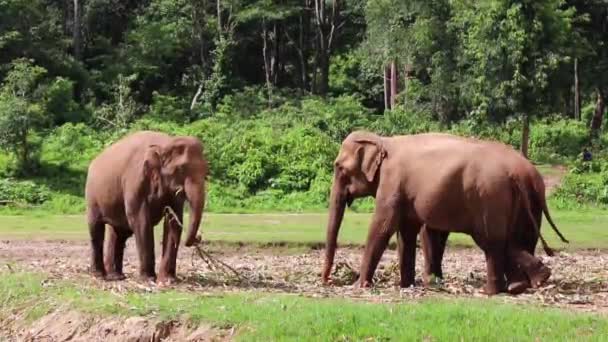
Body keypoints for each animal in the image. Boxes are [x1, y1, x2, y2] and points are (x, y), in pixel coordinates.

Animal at [84, 130, 209, 284]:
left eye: (206, 171)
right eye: (180, 169)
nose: (198, 238)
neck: (166, 143)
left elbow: (173, 222)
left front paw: (167, 280)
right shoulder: (135, 180)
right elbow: (141, 221)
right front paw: (148, 279)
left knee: (119, 233)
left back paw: (116, 276)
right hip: (92, 196)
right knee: (96, 229)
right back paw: (99, 275)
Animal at [324, 130, 568, 296]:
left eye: (338, 167)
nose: (326, 281)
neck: (383, 140)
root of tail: (518, 173)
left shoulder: (392, 182)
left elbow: (382, 227)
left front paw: (358, 286)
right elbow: (407, 232)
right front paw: (407, 285)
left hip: (490, 197)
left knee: (492, 242)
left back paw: (495, 290)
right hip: (526, 201)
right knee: (515, 240)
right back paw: (526, 283)